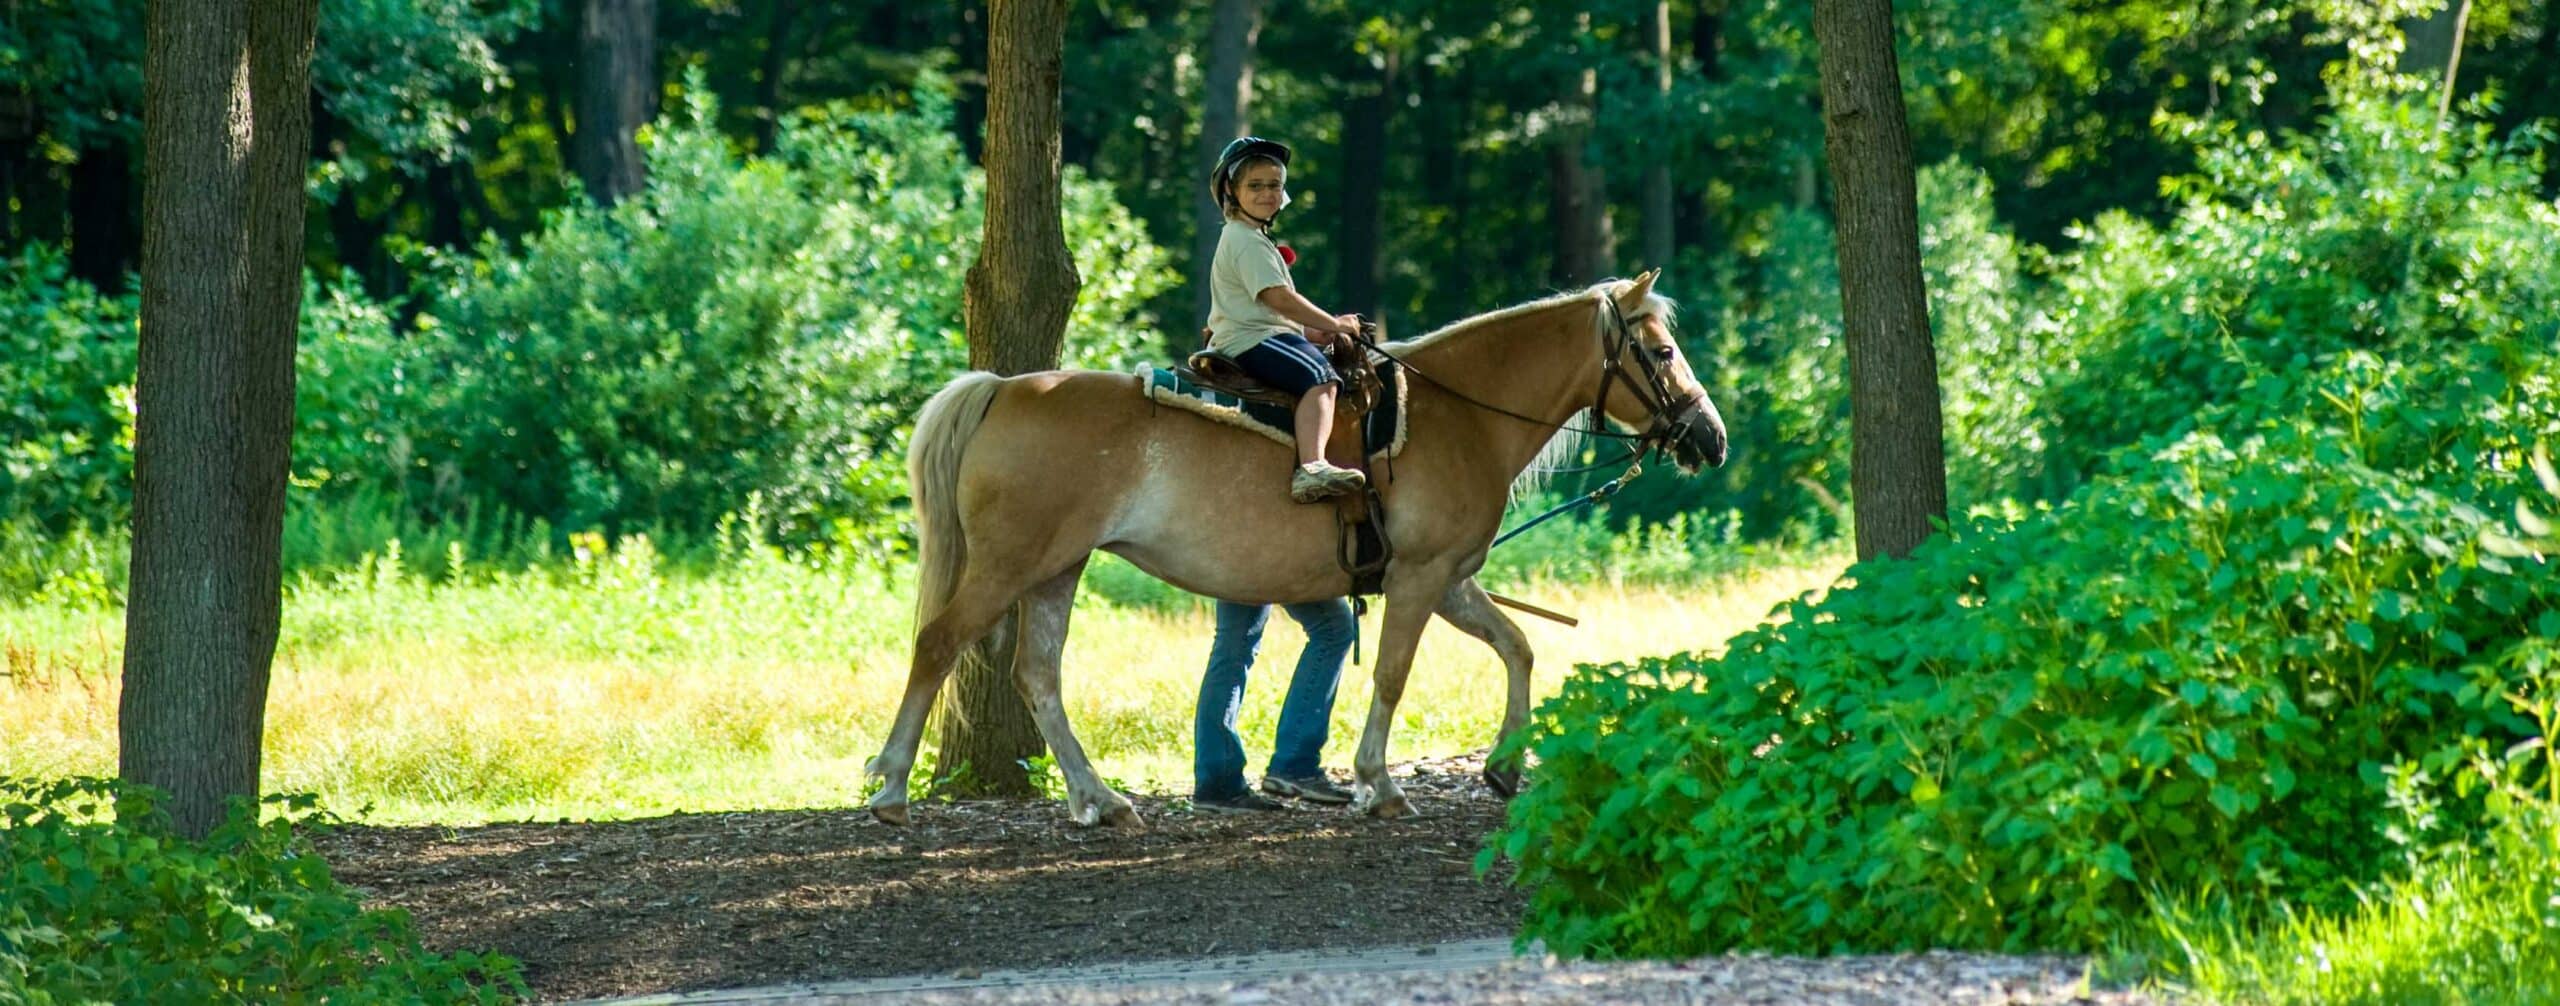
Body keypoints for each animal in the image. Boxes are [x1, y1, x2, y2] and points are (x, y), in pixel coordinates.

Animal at [870, 270, 1730, 829]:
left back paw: (1098, 801)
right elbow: (1391, 675)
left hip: (1057, 569)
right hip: (1009, 566)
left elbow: (1517, 646)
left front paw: (1506, 763)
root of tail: (1004, 388)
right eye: (1660, 353)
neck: (1459, 415)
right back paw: (889, 789)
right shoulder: (1420, 579)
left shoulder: (1449, 579)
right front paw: (1378, 783)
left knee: (1038, 676)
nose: (1710, 437)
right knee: (938, 644)